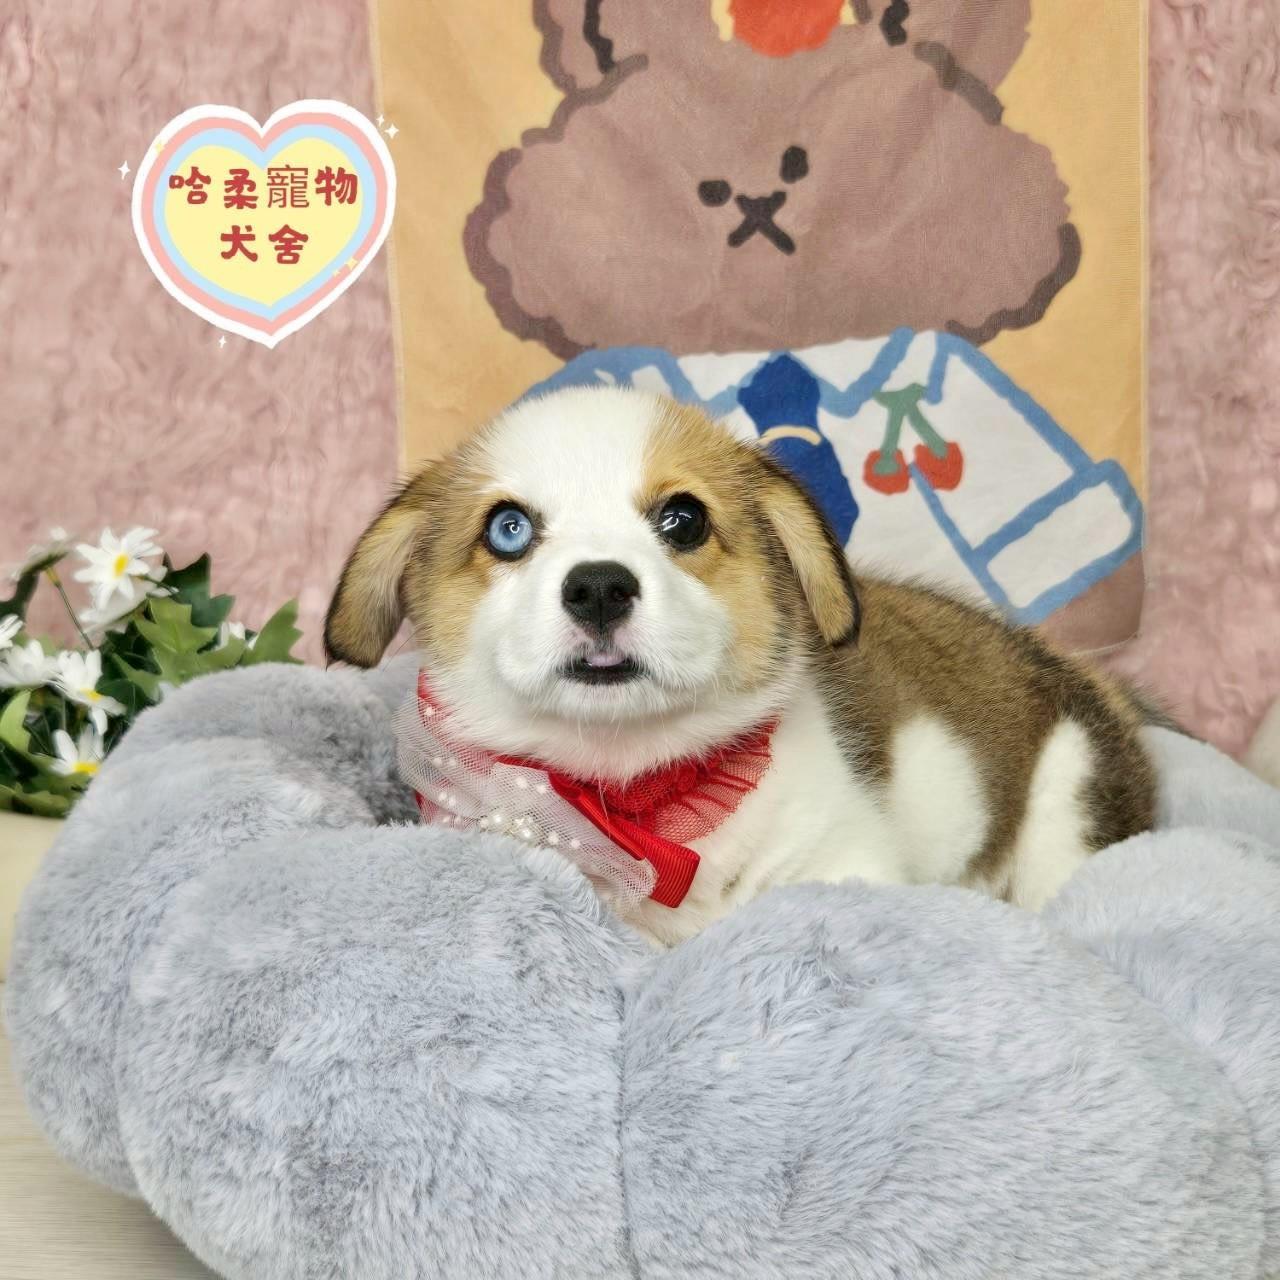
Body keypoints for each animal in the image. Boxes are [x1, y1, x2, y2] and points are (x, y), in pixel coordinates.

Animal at [325, 386, 1158, 947]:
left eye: (684, 520)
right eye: (508, 530)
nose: (598, 587)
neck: (634, 801)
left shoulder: (848, 863)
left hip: (1070, 794)